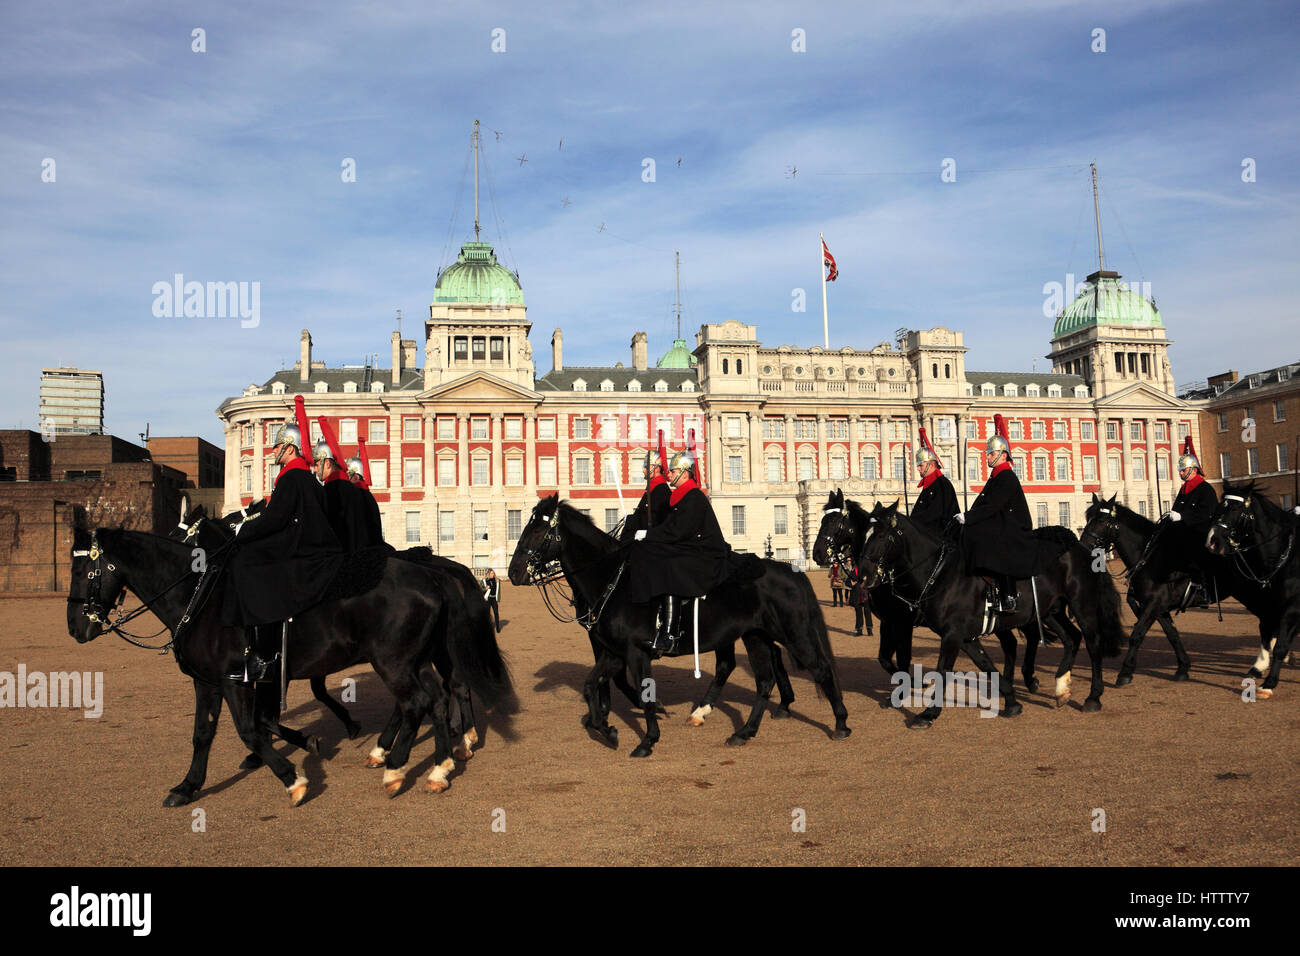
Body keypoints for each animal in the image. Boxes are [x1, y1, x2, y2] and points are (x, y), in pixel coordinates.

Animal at [68, 528, 509, 806]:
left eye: (84, 570)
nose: (75, 628)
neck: (201, 597)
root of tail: (432, 575)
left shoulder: (237, 679)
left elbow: (250, 729)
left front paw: (292, 777)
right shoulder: (211, 682)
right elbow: (204, 734)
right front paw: (188, 786)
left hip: (395, 662)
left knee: (421, 701)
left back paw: (400, 768)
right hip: (414, 659)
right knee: (439, 696)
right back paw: (437, 762)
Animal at [506, 494, 852, 754]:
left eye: (537, 531)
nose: (513, 572)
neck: (612, 579)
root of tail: (789, 569)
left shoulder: (635, 652)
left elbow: (642, 692)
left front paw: (647, 738)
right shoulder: (613, 651)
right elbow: (592, 685)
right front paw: (606, 728)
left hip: (793, 635)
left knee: (820, 670)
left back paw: (840, 723)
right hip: (755, 636)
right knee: (762, 680)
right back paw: (742, 729)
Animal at [857, 502, 1123, 723]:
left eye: (880, 535)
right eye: (863, 533)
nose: (862, 576)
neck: (942, 574)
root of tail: (1082, 547)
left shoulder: (947, 634)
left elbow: (941, 670)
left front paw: (928, 713)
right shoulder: (963, 637)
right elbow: (986, 664)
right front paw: (1012, 702)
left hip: (1082, 607)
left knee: (1092, 644)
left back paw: (1093, 697)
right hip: (1050, 612)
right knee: (1071, 638)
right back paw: (1060, 688)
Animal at [1206, 481, 1300, 697]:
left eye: (1235, 509)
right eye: (1218, 508)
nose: (1212, 541)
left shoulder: (1291, 607)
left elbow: (1281, 644)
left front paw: (1270, 682)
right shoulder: (1272, 605)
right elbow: (1269, 633)